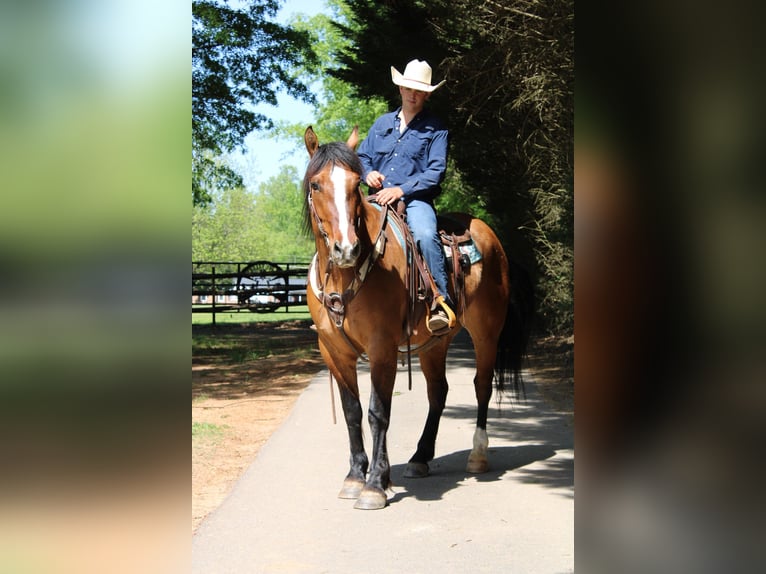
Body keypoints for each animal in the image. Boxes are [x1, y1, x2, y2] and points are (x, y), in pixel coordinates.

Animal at [304, 127, 532, 512]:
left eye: (353, 184)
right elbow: (352, 413)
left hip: (487, 332)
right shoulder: (333, 351)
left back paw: (478, 455)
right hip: (434, 342)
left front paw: (375, 485)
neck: (346, 276)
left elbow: (378, 411)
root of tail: (491, 238)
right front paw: (355, 477)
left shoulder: (381, 347)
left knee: (482, 386)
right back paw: (421, 457)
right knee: (438, 391)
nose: (346, 249)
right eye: (317, 184)